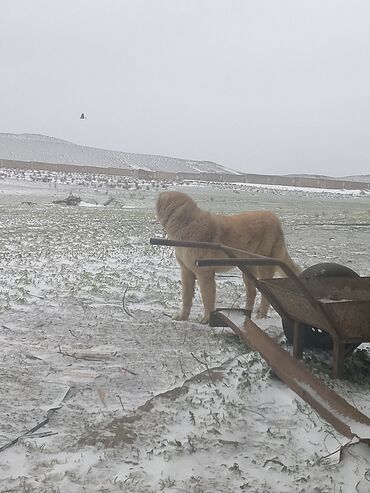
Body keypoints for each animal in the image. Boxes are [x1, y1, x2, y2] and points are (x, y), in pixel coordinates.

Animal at [155, 189, 300, 322]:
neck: (186, 222)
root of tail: (275, 218)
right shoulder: (186, 271)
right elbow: (186, 296)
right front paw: (183, 316)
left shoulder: (204, 273)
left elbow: (207, 298)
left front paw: (207, 319)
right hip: (248, 269)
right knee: (252, 293)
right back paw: (246, 316)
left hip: (263, 266)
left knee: (265, 294)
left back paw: (261, 316)